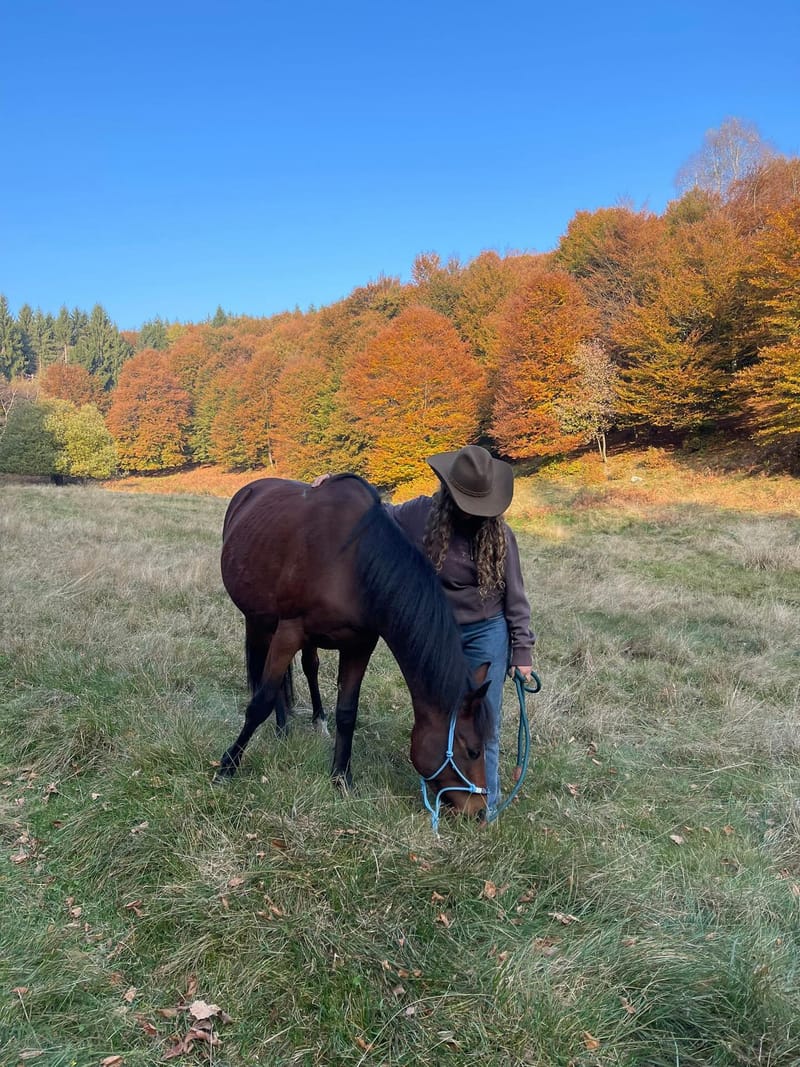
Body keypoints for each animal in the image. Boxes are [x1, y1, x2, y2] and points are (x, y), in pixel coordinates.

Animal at [217, 473, 492, 817]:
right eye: (472, 750)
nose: (480, 811)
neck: (351, 563)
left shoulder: (360, 646)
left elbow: (347, 713)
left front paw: (341, 777)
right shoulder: (290, 631)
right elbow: (260, 702)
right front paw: (228, 766)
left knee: (308, 667)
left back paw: (305, 723)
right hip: (259, 621)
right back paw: (281, 729)